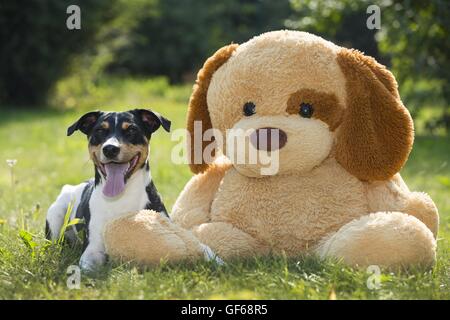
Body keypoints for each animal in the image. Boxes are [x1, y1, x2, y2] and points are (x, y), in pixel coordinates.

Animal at [46, 109, 171, 272]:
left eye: (131, 130)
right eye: (100, 130)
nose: (110, 149)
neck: (120, 196)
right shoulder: (92, 248)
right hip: (56, 217)